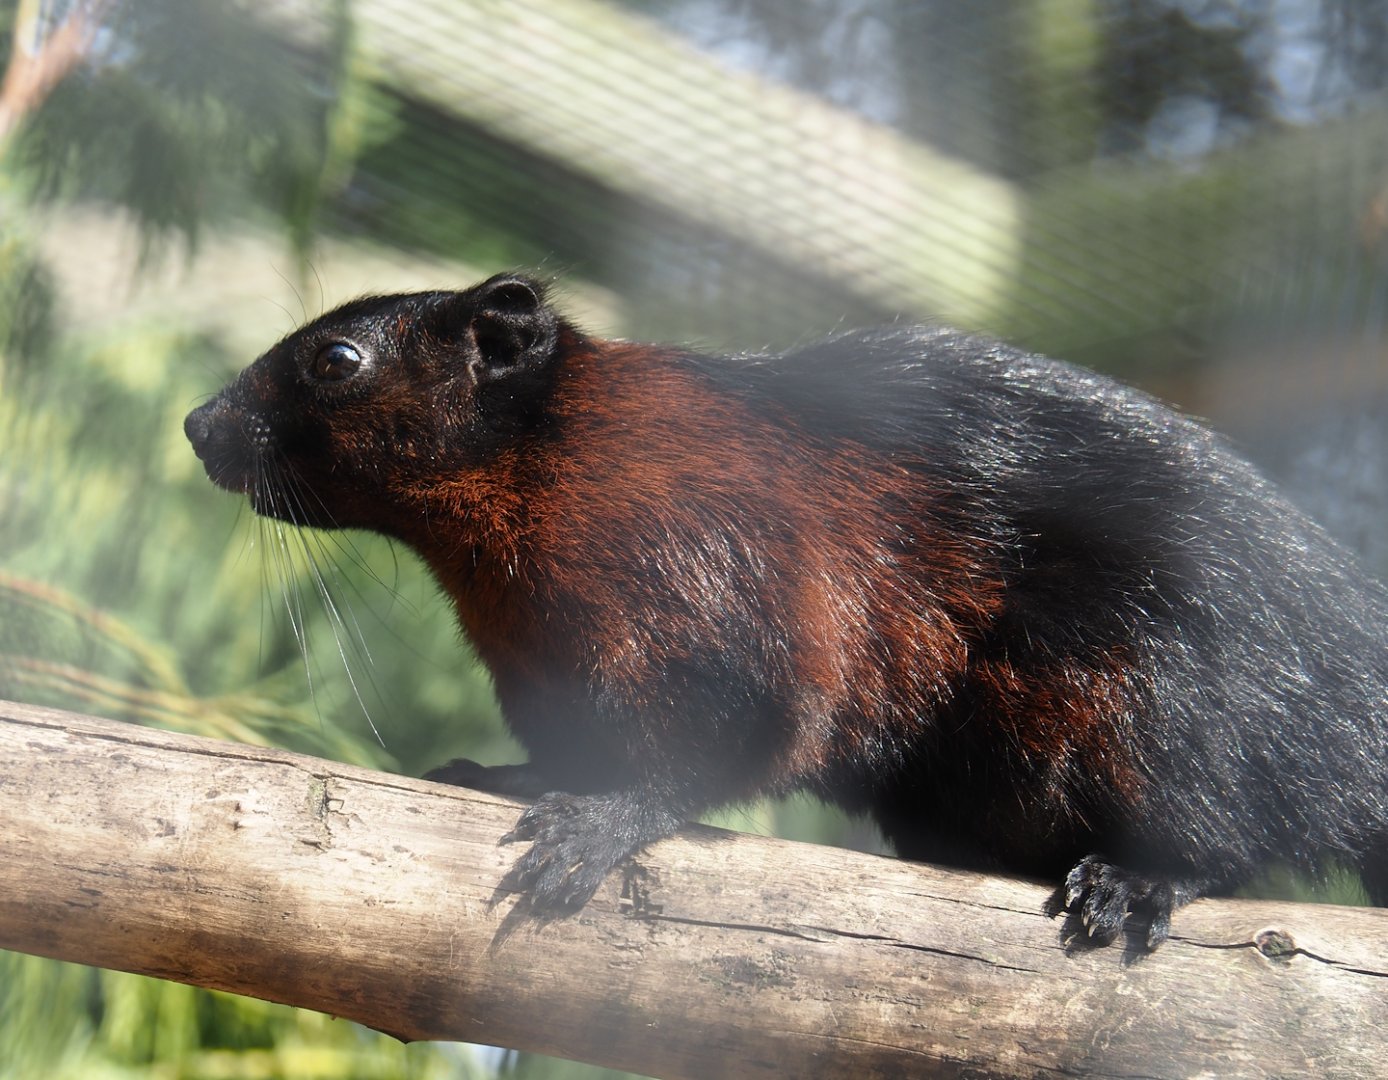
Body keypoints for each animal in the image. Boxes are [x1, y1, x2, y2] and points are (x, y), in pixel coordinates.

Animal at [185, 273, 1388, 948]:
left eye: (337, 358)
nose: (199, 424)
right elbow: (569, 751)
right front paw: (504, 775)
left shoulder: (722, 596)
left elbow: (713, 753)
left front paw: (595, 827)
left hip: (1156, 698)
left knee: (1228, 830)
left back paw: (1135, 884)